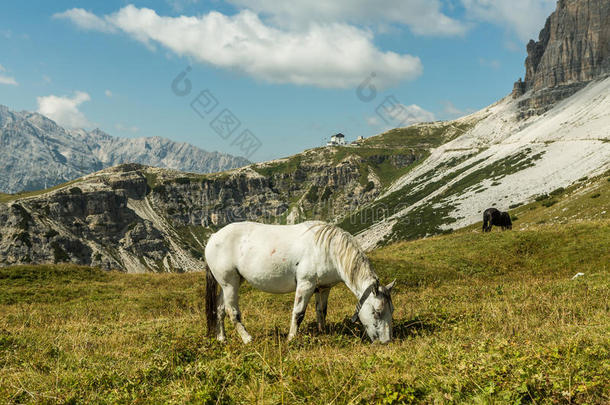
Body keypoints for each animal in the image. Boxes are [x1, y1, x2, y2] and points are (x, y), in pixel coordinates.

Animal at [204, 219, 394, 342]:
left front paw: (323, 333)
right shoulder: (305, 285)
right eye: (376, 312)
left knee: (219, 309)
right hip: (230, 284)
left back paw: (221, 338)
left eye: (391, 310)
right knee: (232, 311)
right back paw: (247, 339)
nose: (386, 342)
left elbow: (321, 311)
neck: (328, 249)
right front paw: (291, 339)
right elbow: (298, 313)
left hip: (229, 284)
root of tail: (214, 237)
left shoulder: (323, 288)